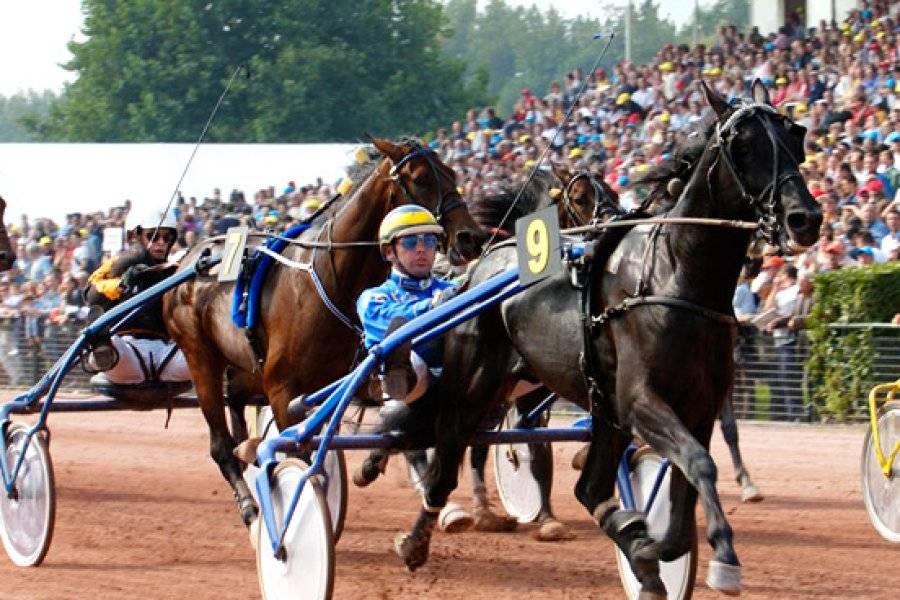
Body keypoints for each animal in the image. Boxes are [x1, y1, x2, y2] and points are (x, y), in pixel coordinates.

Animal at [162, 138, 486, 524]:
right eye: (421, 178)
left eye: (453, 172)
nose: (471, 237)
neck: (331, 282)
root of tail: (185, 260)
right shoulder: (283, 390)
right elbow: (300, 455)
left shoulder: (344, 380)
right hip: (201, 358)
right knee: (220, 444)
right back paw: (249, 504)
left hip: (245, 365)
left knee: (237, 403)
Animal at [390, 81, 820, 600]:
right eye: (745, 144)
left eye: (795, 135)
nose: (805, 218)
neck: (673, 276)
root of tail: (482, 265)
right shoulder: (641, 401)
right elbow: (700, 466)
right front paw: (721, 558)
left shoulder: (696, 408)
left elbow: (685, 495)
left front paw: (649, 546)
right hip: (476, 385)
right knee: (450, 452)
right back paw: (419, 538)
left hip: (596, 409)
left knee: (588, 488)